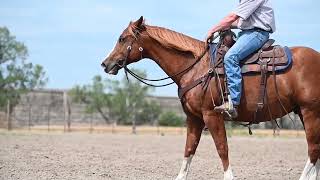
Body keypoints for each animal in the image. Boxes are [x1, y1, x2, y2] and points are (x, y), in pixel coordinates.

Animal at [100, 16, 320, 179]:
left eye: (122, 38)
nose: (105, 64)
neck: (196, 67)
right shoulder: (194, 118)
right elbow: (189, 150)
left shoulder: (211, 116)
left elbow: (222, 149)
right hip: (304, 112)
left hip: (310, 112)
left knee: (313, 150)